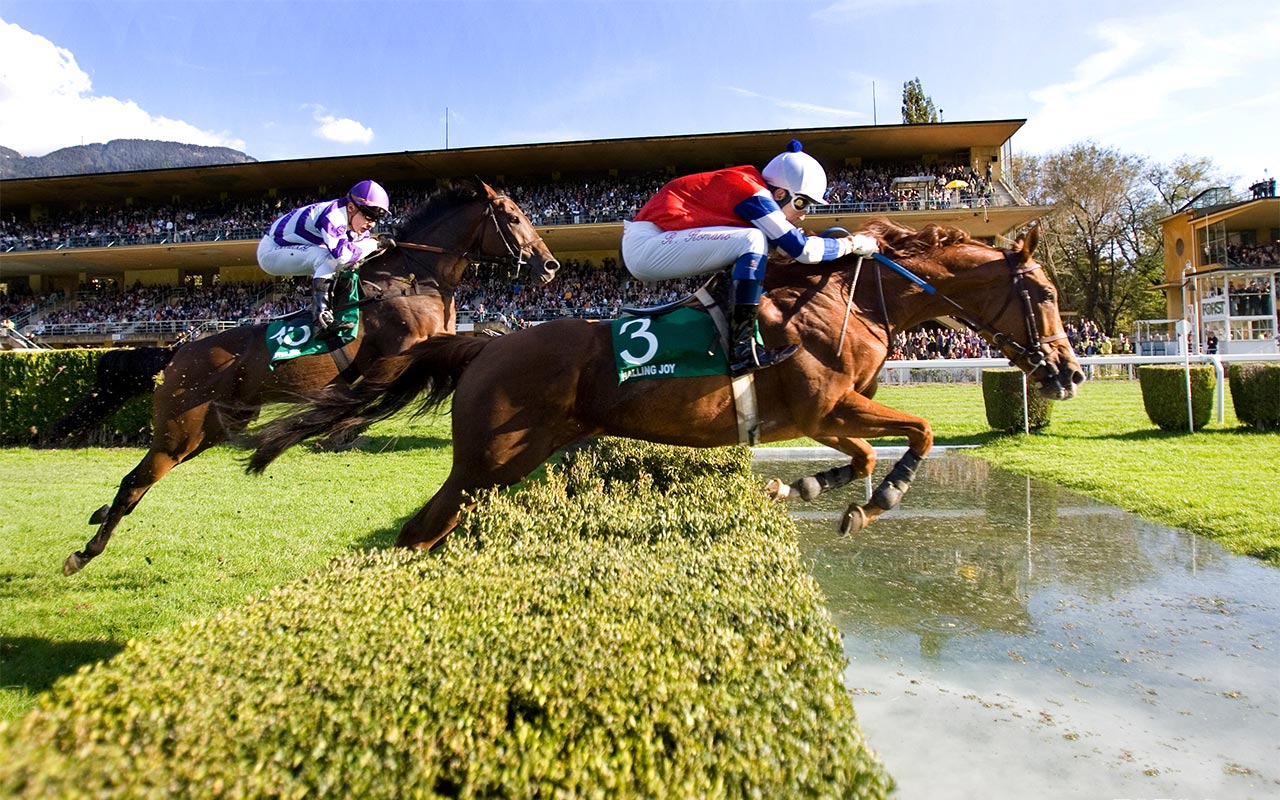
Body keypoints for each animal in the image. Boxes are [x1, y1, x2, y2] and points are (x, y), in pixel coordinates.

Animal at [62, 177, 558, 570]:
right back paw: (84, 552)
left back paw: (97, 521)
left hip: (207, 431)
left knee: (140, 485)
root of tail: (178, 352)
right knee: (134, 482)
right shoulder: (404, 352)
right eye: (512, 217)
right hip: (177, 430)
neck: (412, 279)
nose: (550, 266)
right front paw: (335, 429)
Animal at [247, 221, 1080, 552]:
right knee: (421, 527)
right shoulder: (829, 403)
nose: (1069, 371)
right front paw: (874, 503)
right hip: (488, 460)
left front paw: (808, 489)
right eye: (1042, 293)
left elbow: (872, 451)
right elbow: (919, 434)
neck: (850, 301)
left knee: (431, 526)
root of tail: (490, 342)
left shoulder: (824, 415)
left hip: (505, 464)